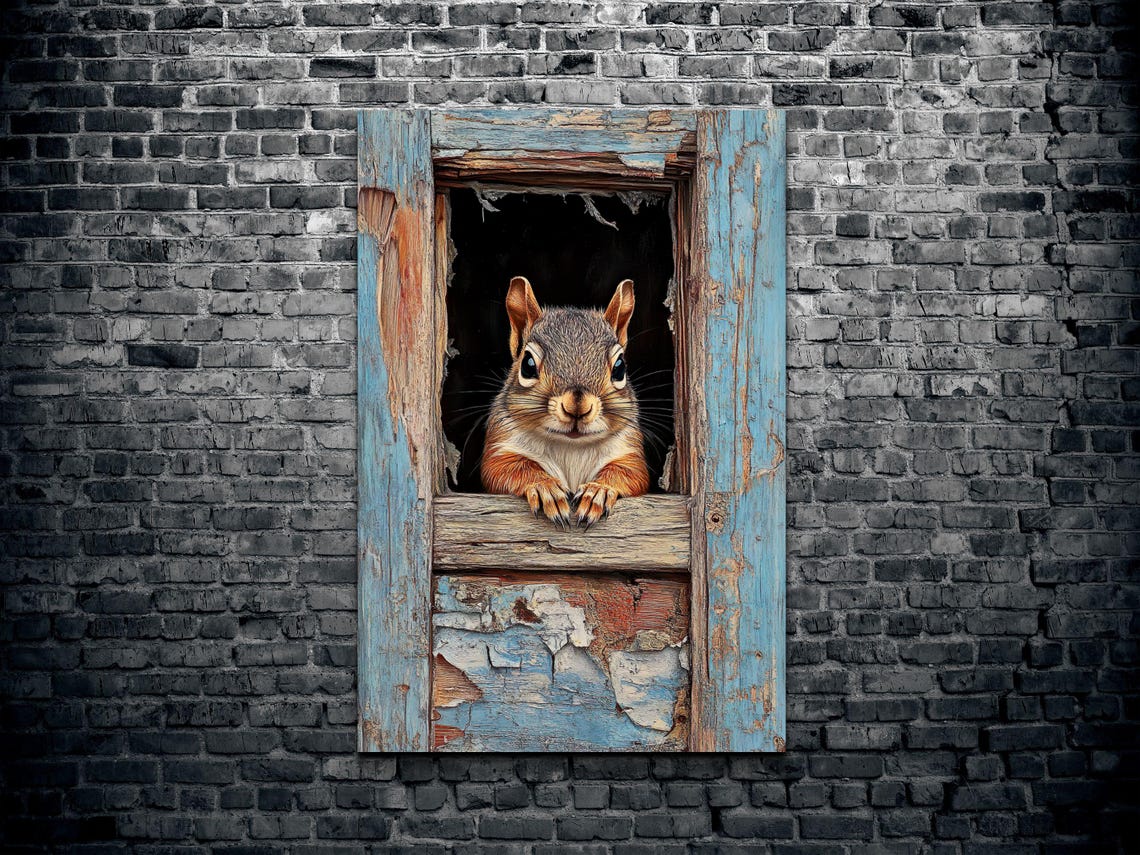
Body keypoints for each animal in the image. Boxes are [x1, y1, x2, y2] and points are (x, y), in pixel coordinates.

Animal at [480, 276, 650, 529]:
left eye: (620, 368)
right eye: (527, 364)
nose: (577, 407)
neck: (571, 446)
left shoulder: (628, 450)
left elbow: (631, 474)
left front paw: (598, 491)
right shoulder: (502, 444)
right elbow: (503, 469)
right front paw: (545, 487)